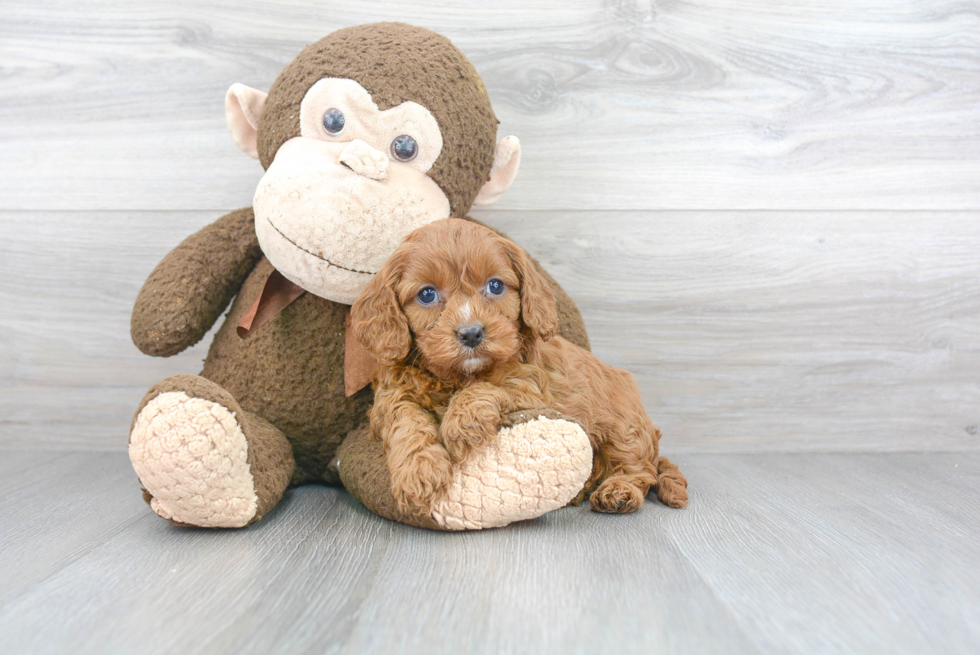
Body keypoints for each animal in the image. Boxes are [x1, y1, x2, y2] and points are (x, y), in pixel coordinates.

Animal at [352, 220, 688, 516]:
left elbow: (488, 387)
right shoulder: (390, 398)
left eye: (495, 286)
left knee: (641, 471)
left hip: (624, 429)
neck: (457, 377)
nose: (471, 333)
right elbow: (406, 421)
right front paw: (418, 473)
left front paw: (461, 422)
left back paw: (619, 491)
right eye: (427, 294)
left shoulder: (531, 390)